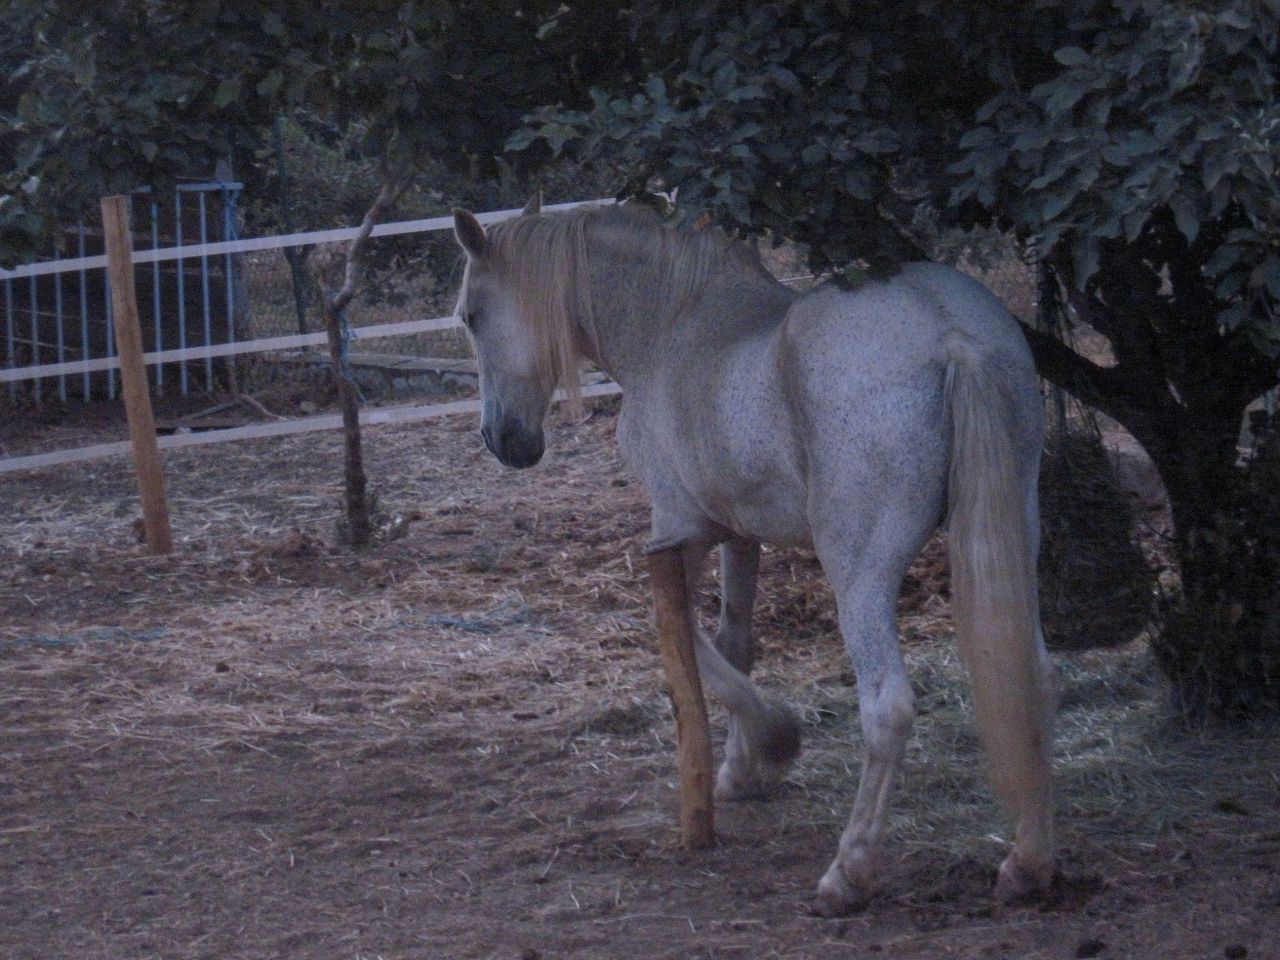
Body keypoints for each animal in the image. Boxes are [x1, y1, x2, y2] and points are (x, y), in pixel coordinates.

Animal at [450, 196, 1057, 915]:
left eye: (472, 316)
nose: (501, 440)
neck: (671, 325)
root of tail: (952, 334)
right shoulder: (739, 535)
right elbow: (733, 641)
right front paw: (741, 770)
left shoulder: (678, 530)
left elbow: (682, 637)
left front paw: (775, 739)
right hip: (1013, 531)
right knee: (1030, 677)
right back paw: (1028, 863)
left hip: (859, 571)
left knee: (887, 708)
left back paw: (848, 873)